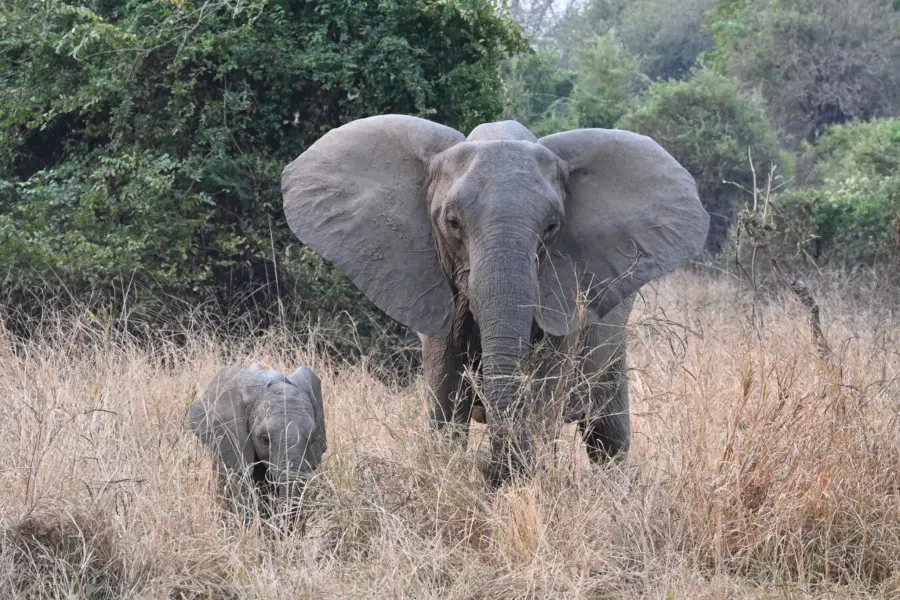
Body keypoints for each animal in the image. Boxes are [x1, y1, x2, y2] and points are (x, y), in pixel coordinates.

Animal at [282, 115, 712, 486]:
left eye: (553, 226)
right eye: (452, 222)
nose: (487, 467)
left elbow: (545, 392)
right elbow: (445, 391)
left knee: (607, 432)